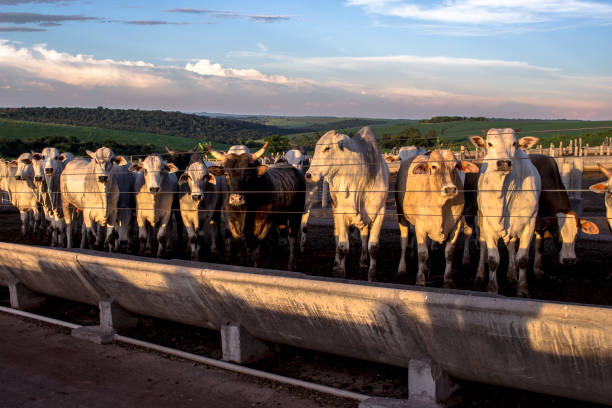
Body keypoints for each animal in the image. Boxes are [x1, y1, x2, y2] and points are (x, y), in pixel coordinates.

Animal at [304, 127, 390, 280]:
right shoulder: (340, 211)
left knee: (364, 237)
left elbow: (373, 247)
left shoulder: (380, 212)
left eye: (327, 148)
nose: (308, 175)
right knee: (337, 237)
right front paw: (339, 271)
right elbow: (342, 245)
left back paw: (363, 262)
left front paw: (372, 274)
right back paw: (336, 262)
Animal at [470, 128, 536, 296]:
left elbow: (522, 259)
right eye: (489, 144)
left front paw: (522, 288)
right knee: (483, 246)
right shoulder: (488, 223)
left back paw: (512, 275)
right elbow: (493, 259)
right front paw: (492, 288)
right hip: (481, 218)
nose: (504, 163)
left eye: (514, 143)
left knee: (512, 247)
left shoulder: (529, 223)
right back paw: (480, 275)